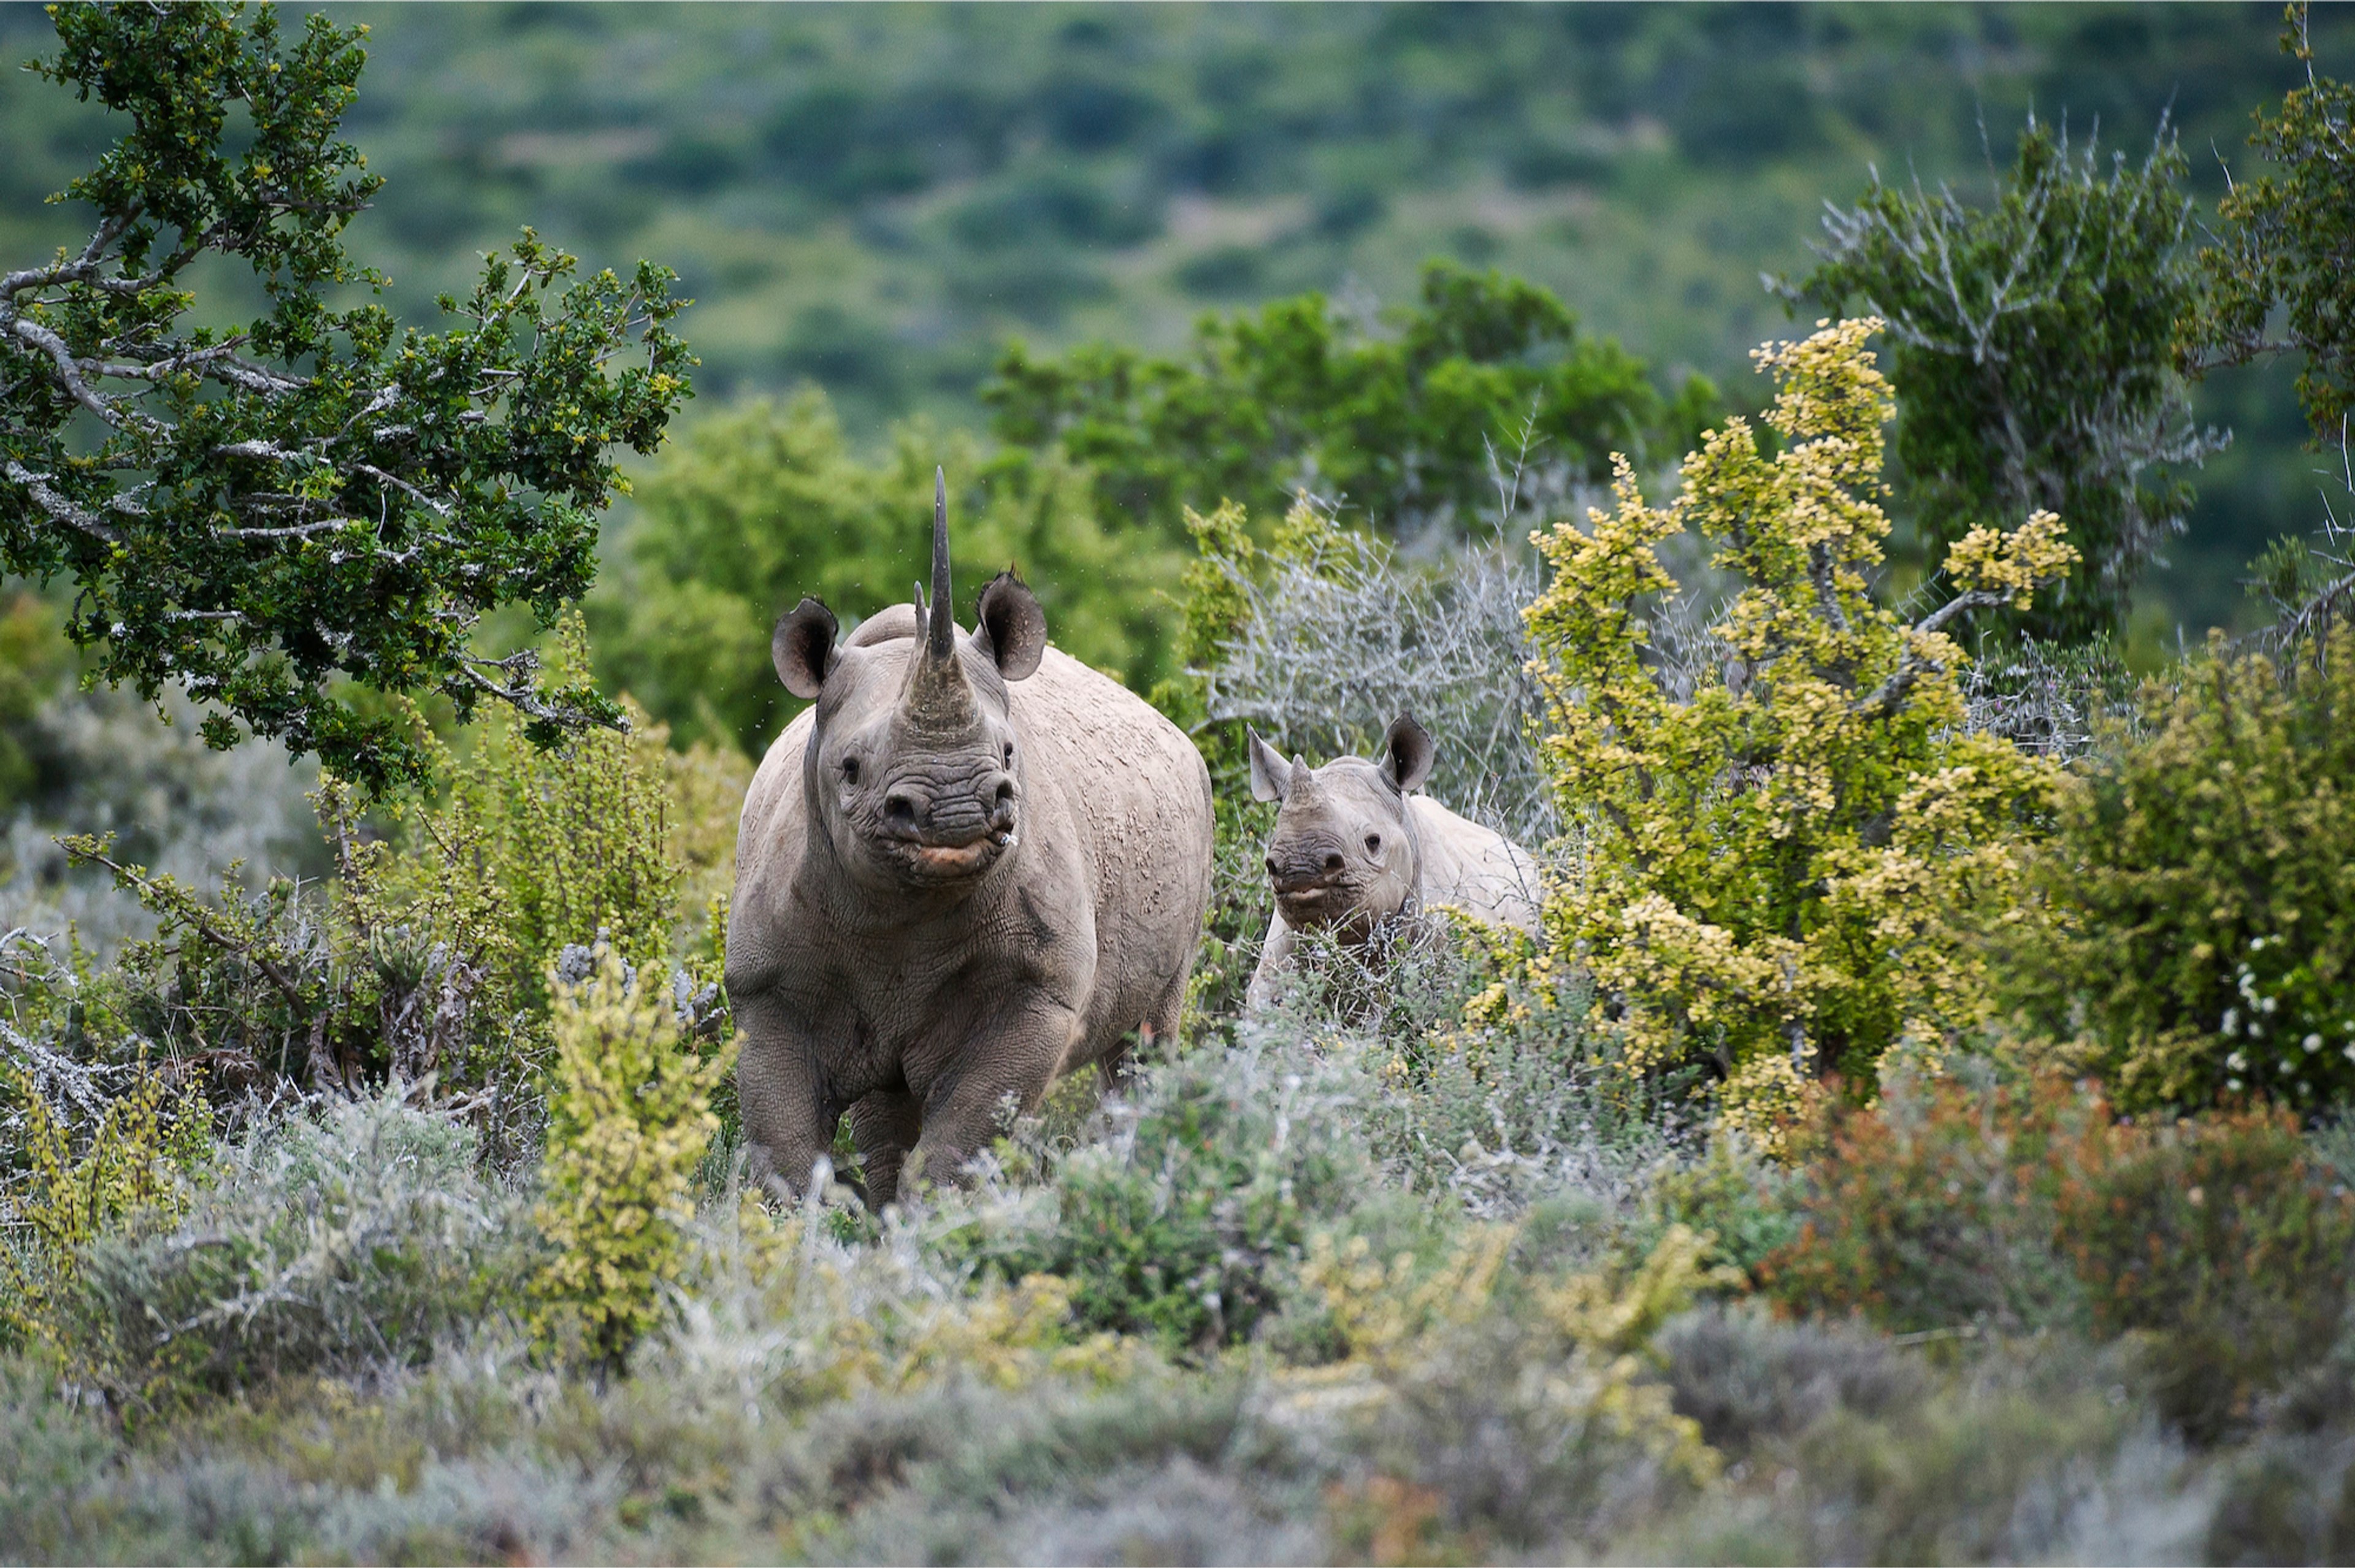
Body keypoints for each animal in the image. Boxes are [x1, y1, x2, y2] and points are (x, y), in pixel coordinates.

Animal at [725, 470, 1215, 1201]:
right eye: (850, 768)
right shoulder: (765, 988)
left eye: (1010, 754)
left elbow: (959, 1142)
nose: (957, 807)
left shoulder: (1039, 991)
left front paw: (936, 1225)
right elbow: (783, 1150)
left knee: (1146, 1040)